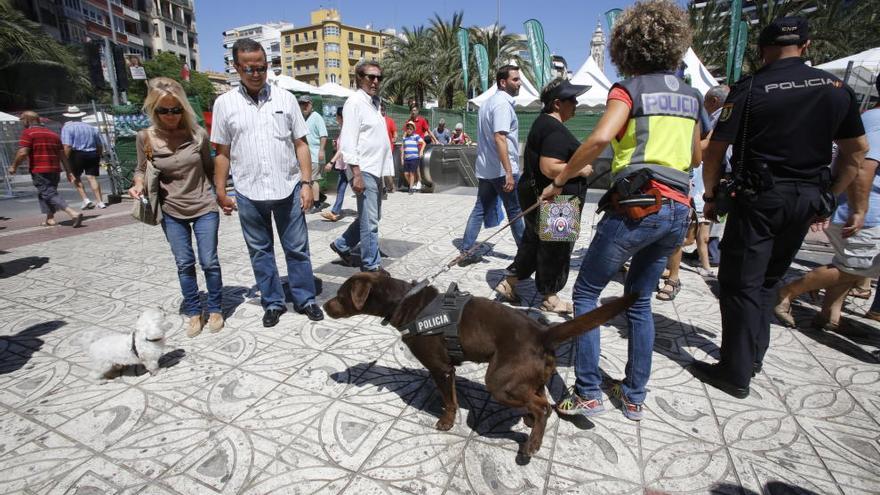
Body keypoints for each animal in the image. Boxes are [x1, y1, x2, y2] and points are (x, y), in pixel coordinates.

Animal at [324, 272, 632, 458]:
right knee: (540, 397)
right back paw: (530, 422)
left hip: (499, 381)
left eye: (340, 295)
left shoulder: (441, 368)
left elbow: (449, 401)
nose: (325, 306)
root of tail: (542, 333)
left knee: (543, 407)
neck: (405, 302)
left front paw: (446, 422)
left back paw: (532, 444)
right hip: (532, 376)